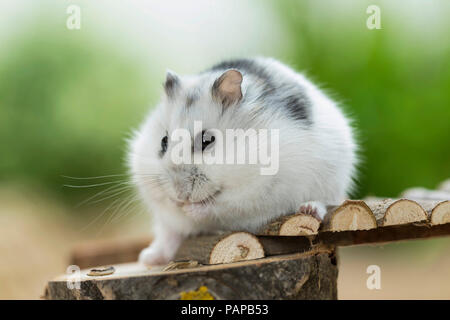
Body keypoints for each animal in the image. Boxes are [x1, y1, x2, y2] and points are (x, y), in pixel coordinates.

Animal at [128, 57, 356, 264]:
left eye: (207, 140)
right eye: (163, 141)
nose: (180, 196)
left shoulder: (256, 191)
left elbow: (222, 205)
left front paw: (189, 208)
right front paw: (176, 204)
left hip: (331, 182)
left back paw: (309, 209)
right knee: (169, 236)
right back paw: (148, 258)